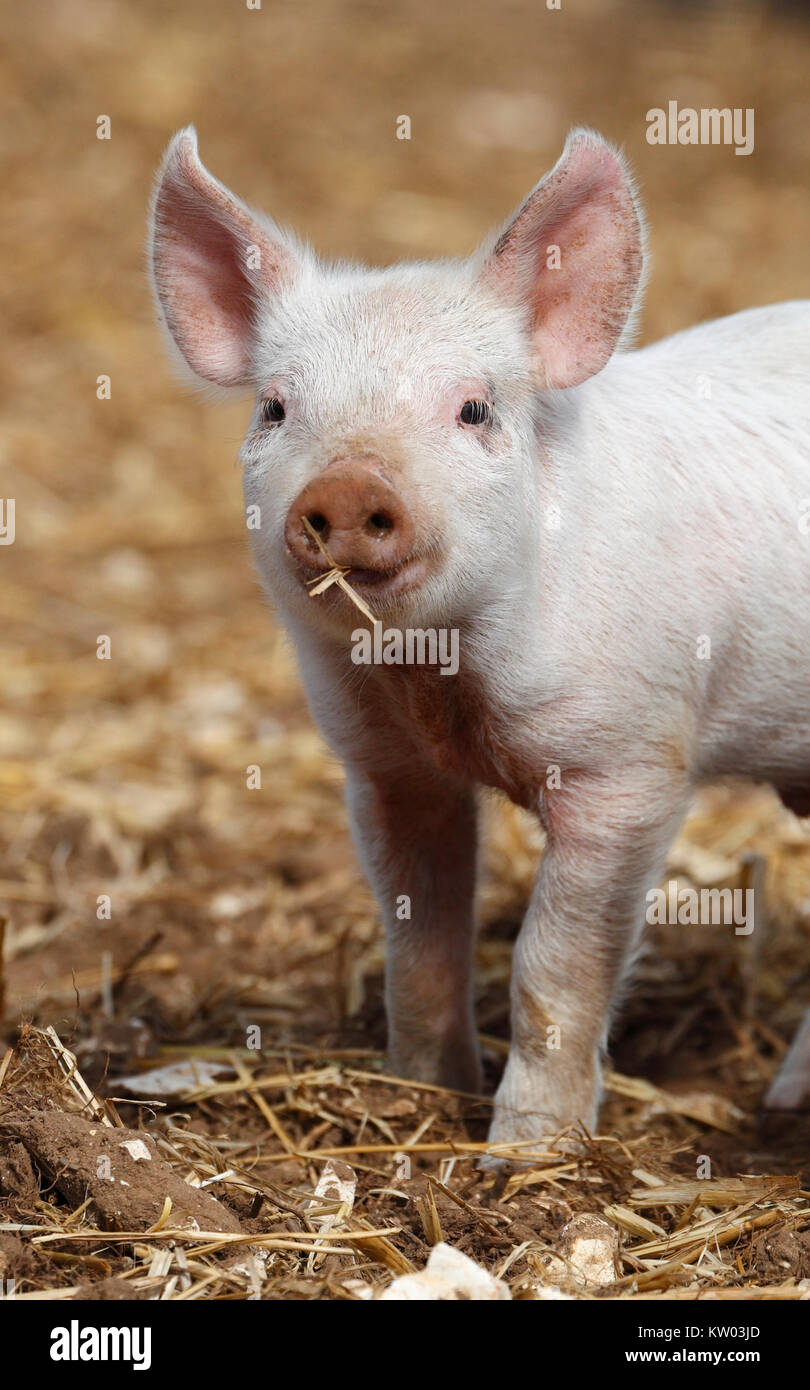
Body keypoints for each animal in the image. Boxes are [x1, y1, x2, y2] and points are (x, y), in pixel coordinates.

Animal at [147, 125, 810, 1145]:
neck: (442, 684)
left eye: (473, 409)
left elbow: (553, 966)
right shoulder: (383, 767)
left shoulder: (629, 768)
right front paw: (420, 1094)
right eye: (274, 408)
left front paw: (524, 1151)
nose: (348, 486)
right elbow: (419, 942)